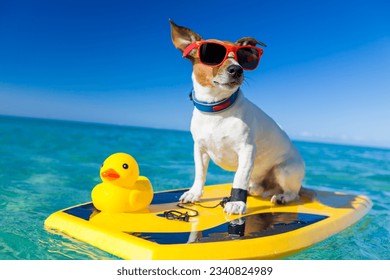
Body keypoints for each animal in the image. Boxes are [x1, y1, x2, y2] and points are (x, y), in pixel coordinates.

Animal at [170, 20, 304, 214]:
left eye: (242, 58)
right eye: (213, 54)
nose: (237, 69)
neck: (216, 109)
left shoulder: (247, 150)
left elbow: (239, 177)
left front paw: (237, 202)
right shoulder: (200, 149)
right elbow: (200, 173)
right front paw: (194, 193)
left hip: (284, 170)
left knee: (294, 193)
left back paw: (282, 197)